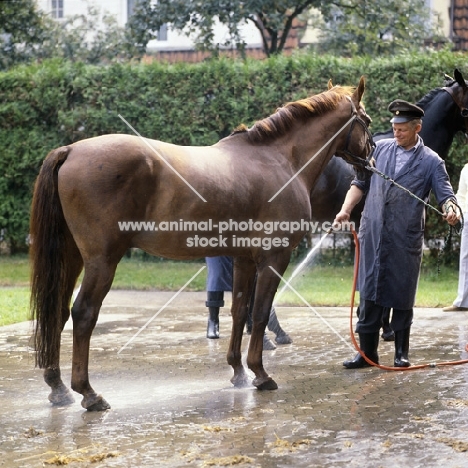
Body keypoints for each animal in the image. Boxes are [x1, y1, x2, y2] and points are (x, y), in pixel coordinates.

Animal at [30, 76, 372, 410]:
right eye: (366, 121)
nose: (368, 163)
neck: (279, 160)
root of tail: (70, 150)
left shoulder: (243, 259)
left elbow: (239, 310)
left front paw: (238, 372)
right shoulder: (275, 257)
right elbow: (260, 312)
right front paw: (260, 374)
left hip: (70, 257)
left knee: (57, 313)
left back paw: (58, 388)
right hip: (102, 261)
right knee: (83, 313)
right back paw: (88, 393)